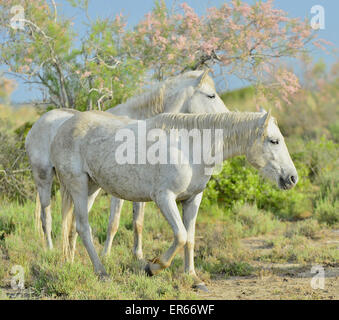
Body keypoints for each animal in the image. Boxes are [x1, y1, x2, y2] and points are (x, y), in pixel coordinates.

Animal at [25, 69, 228, 258]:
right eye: (211, 95)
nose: (227, 116)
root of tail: (40, 122)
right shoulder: (118, 192)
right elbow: (113, 223)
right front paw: (106, 255)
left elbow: (138, 222)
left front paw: (138, 256)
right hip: (44, 179)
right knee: (46, 217)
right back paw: (51, 250)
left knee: (73, 220)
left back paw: (71, 255)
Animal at [49, 109, 298, 288]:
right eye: (274, 141)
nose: (292, 178)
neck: (189, 148)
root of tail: (63, 127)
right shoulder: (164, 198)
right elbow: (180, 235)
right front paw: (152, 268)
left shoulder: (192, 200)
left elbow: (190, 238)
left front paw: (193, 277)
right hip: (78, 185)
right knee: (83, 227)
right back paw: (102, 273)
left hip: (91, 188)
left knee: (72, 227)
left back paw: (70, 262)